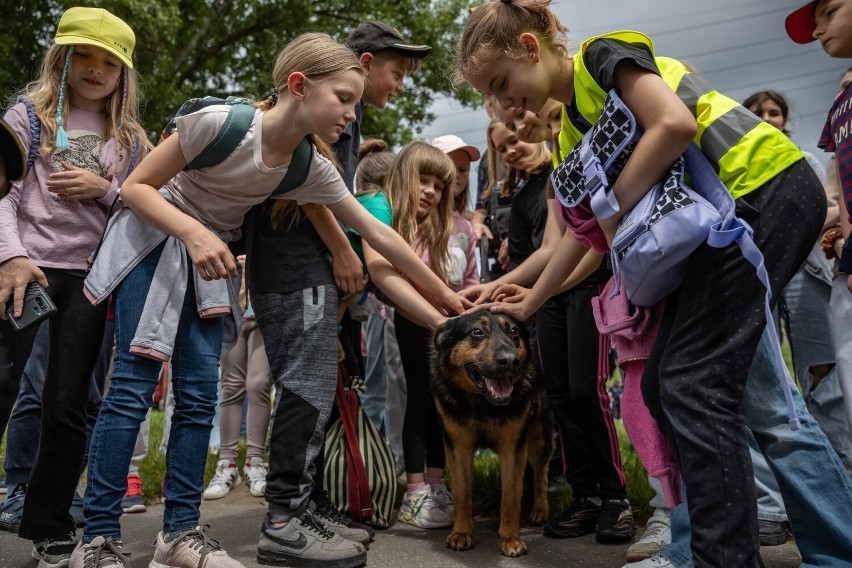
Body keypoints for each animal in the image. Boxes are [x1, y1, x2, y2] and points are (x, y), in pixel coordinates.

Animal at [432, 308, 552, 556]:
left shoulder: (513, 448)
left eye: (514, 332)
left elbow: (510, 497)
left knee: (541, 473)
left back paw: (539, 510)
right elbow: (461, 493)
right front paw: (461, 533)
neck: (483, 405)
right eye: (477, 332)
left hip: (538, 439)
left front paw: (510, 539)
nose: (511, 360)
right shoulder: (458, 447)